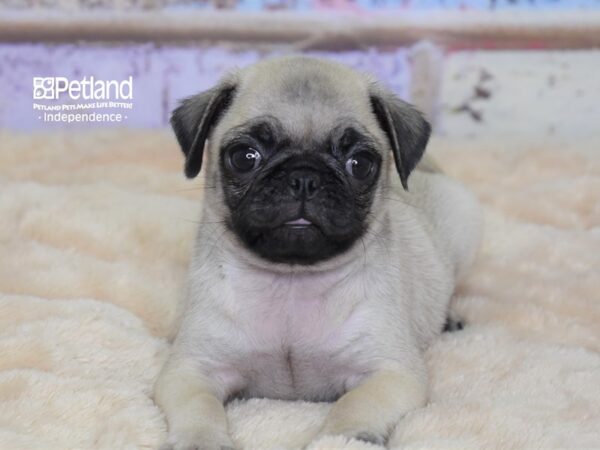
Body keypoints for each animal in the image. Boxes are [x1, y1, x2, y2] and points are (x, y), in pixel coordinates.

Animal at [155, 56, 482, 450]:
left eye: (360, 163)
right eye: (245, 157)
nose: (304, 177)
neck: (292, 281)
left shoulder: (391, 373)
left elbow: (355, 405)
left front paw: (346, 437)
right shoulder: (191, 370)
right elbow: (199, 408)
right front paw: (201, 440)